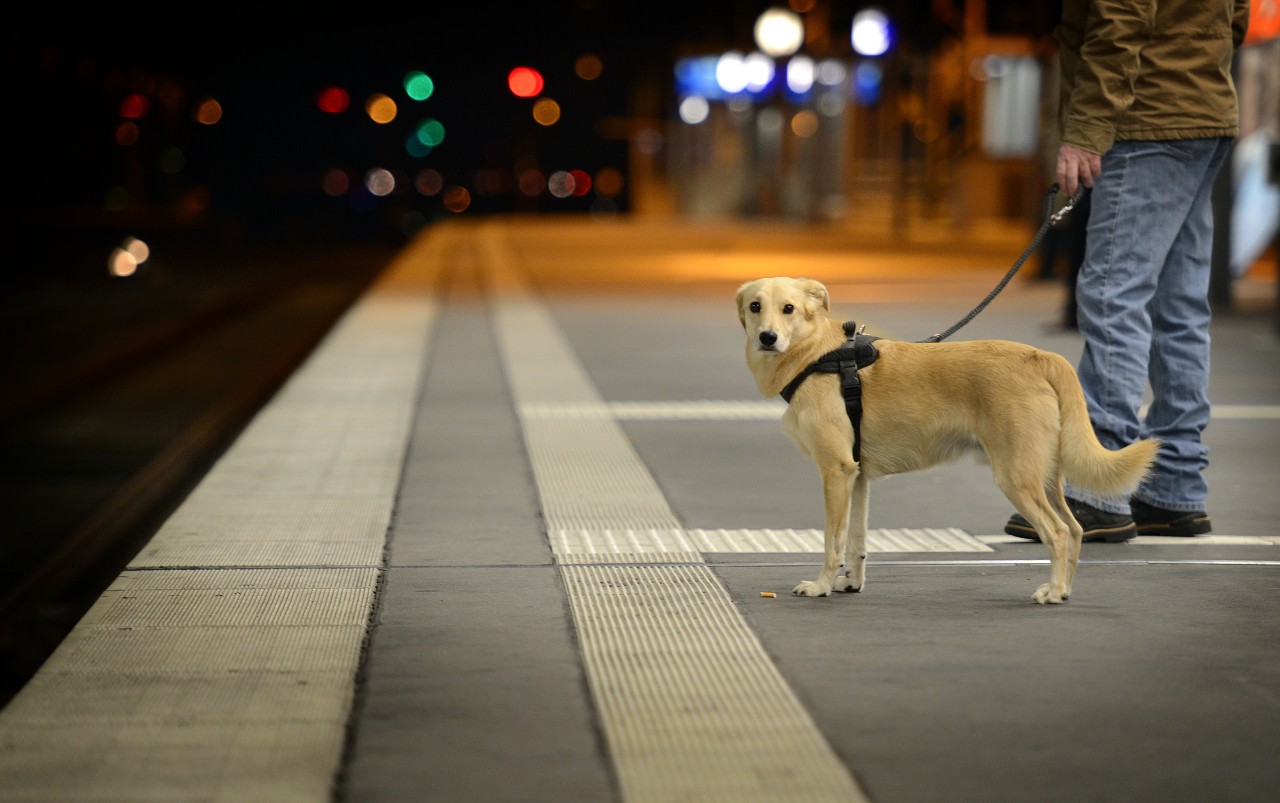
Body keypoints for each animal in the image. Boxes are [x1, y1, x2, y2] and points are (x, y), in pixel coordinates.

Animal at [737, 276, 1157, 604]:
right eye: (755, 306)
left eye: (788, 309)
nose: (767, 337)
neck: (817, 355)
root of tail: (1039, 356)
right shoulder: (857, 477)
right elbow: (856, 541)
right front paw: (851, 583)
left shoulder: (835, 472)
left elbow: (832, 540)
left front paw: (821, 585)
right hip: (1046, 475)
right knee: (1074, 529)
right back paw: (1064, 589)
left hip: (1017, 476)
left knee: (1055, 532)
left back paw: (1052, 592)